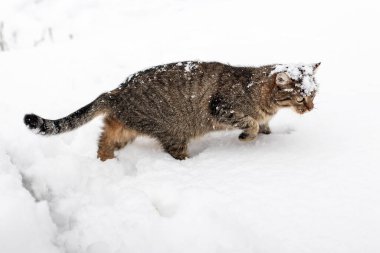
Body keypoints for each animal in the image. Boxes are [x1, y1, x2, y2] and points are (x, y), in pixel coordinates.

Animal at [24, 61, 320, 160]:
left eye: (314, 93)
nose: (311, 107)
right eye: (301, 97)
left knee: (105, 139)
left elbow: (264, 125)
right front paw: (248, 136)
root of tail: (117, 91)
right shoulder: (222, 108)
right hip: (173, 132)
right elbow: (252, 123)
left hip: (125, 128)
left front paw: (268, 135)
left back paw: (106, 163)